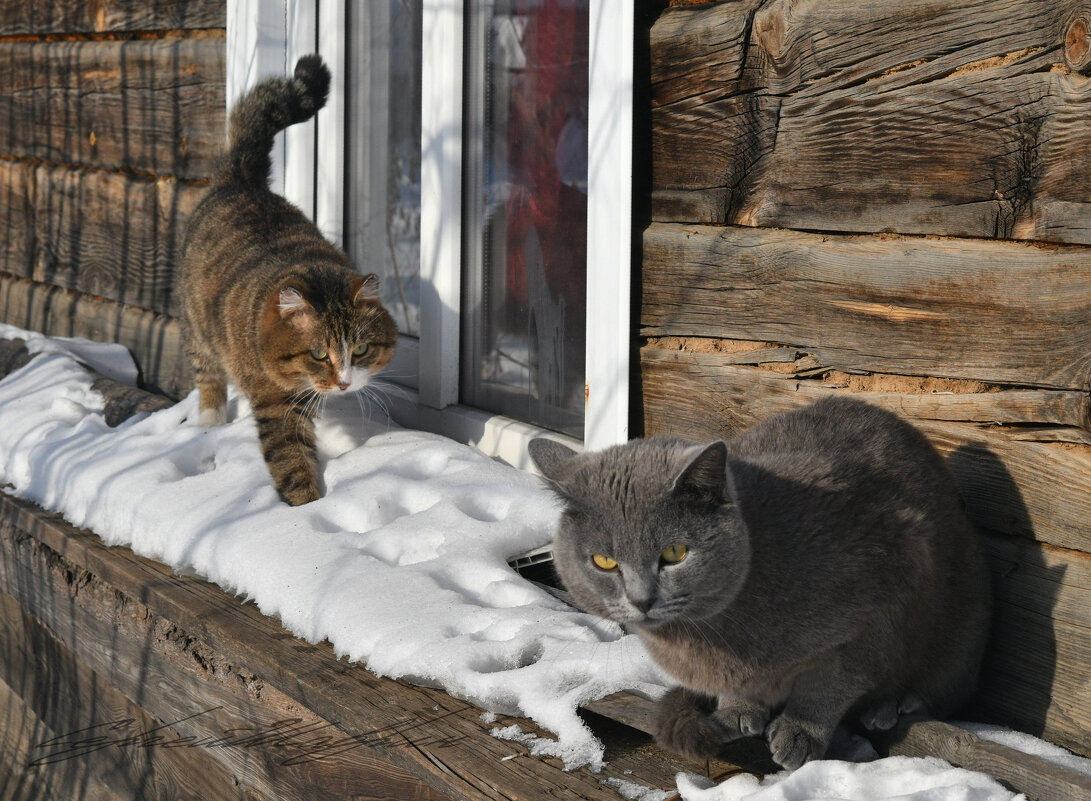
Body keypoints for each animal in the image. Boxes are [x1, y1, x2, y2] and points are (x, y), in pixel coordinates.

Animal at [181, 56, 399, 504]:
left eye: (362, 349)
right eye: (318, 354)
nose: (344, 383)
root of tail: (239, 177)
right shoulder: (274, 401)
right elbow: (290, 460)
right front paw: (306, 508)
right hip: (197, 324)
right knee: (207, 372)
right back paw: (210, 421)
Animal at [528, 399, 990, 776]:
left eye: (675, 553)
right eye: (604, 562)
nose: (642, 599)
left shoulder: (889, 586)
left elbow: (832, 681)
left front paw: (800, 732)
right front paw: (738, 710)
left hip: (958, 632)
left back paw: (889, 707)